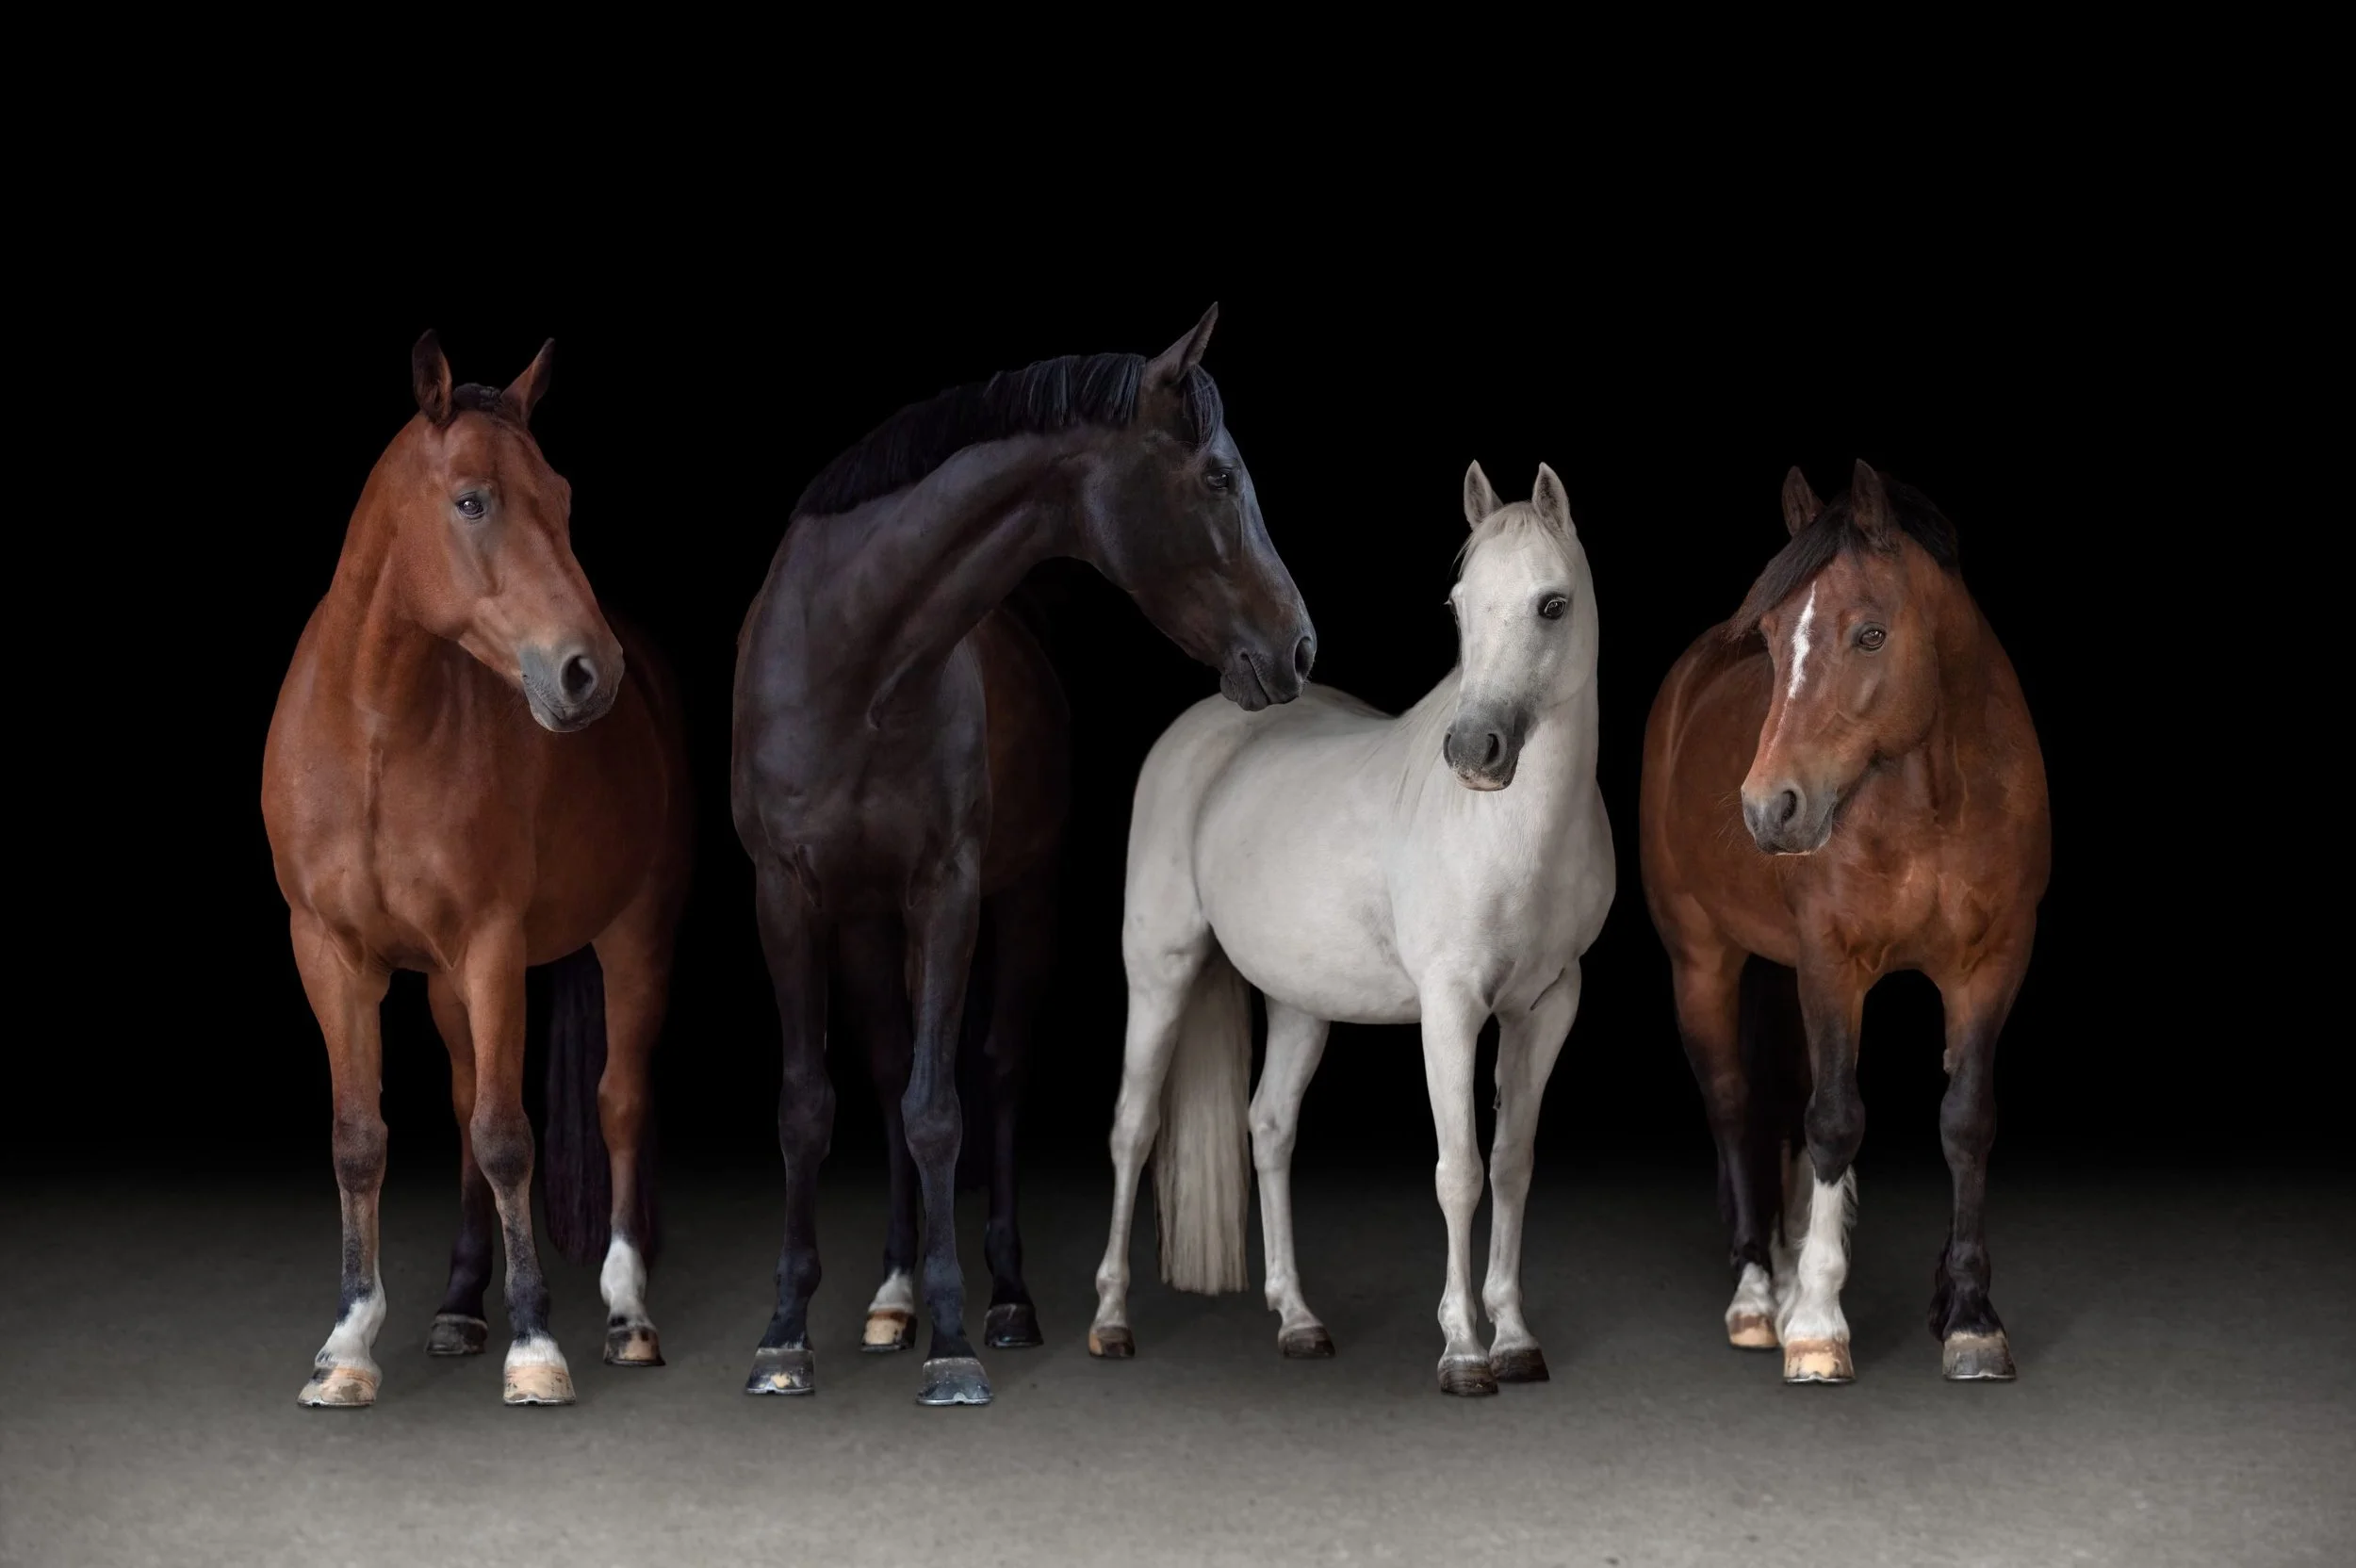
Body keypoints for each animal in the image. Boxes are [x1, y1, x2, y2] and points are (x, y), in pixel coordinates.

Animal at [261, 334, 692, 1408]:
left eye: (565, 498)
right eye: (471, 501)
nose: (589, 674)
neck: (375, 727)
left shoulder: (494, 948)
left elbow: (509, 1135)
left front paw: (537, 1345)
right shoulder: (329, 953)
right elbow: (360, 1138)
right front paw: (347, 1343)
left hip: (635, 936)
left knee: (618, 1101)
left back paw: (627, 1312)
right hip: (446, 985)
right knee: (461, 1108)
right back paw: (459, 1306)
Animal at [731, 306, 1315, 1406]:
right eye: (1218, 475)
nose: (1299, 648)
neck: (853, 663)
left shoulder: (951, 889)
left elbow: (941, 1109)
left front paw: (955, 1338)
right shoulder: (787, 894)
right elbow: (808, 1104)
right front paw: (785, 1332)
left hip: (1023, 901)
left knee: (995, 1072)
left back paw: (1002, 1299)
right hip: (868, 919)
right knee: (886, 1065)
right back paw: (890, 1295)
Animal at [1088, 463, 1614, 1395]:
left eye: (1552, 604)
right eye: (1457, 605)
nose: (1474, 751)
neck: (1514, 834)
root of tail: (1202, 730)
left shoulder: (1546, 1007)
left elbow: (1512, 1165)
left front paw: (1515, 1338)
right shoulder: (1451, 1009)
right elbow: (1459, 1172)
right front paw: (1463, 1351)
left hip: (1300, 1001)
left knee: (1268, 1128)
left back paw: (1298, 1321)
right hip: (1160, 971)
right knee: (1133, 1128)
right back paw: (1112, 1321)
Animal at [1638, 459, 2050, 1384]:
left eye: (1869, 635)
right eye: (1771, 635)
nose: (1769, 807)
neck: (1935, 800)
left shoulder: (1990, 966)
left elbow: (1966, 1120)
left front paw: (1970, 1318)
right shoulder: (1834, 963)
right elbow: (1834, 1122)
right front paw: (1820, 1327)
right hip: (1702, 961)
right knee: (1733, 1103)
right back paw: (1760, 1295)